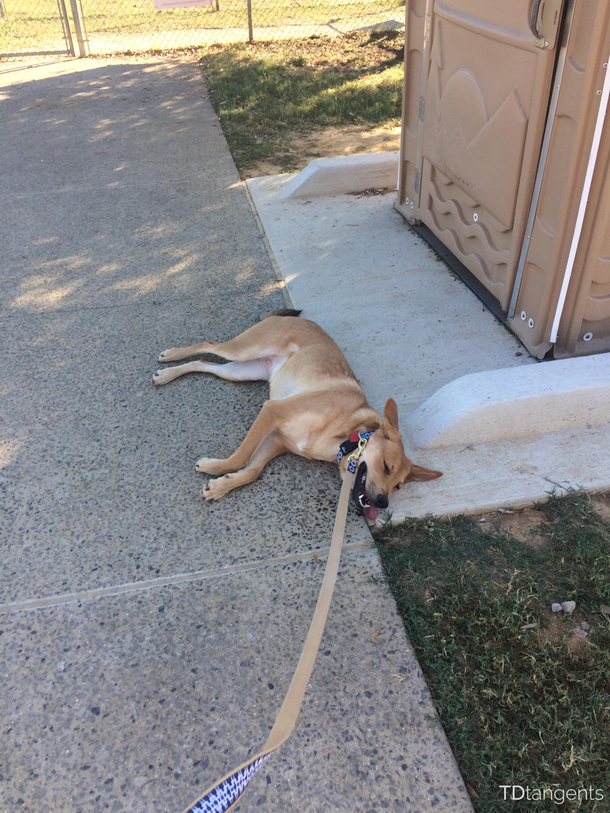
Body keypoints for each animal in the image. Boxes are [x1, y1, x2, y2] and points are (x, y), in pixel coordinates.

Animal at [154, 310, 440, 520]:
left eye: (399, 486)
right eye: (385, 466)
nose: (382, 503)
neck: (345, 437)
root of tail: (298, 318)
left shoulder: (275, 439)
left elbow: (252, 470)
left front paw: (221, 485)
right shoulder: (273, 411)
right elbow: (241, 457)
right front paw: (215, 468)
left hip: (243, 371)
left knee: (204, 364)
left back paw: (169, 374)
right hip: (244, 349)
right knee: (210, 345)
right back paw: (171, 356)